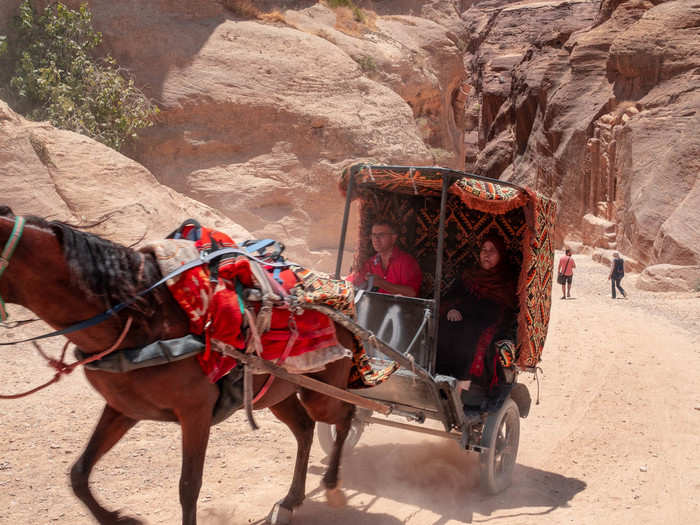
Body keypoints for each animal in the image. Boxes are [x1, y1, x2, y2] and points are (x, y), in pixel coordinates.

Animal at [0, 205, 356, 524]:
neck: (141, 319)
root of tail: (343, 305)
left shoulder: (195, 412)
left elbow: (189, 487)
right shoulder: (123, 408)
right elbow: (79, 473)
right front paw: (119, 519)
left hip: (322, 394)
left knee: (345, 416)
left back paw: (333, 486)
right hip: (277, 394)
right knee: (305, 428)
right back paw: (292, 500)